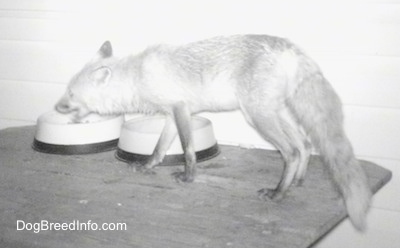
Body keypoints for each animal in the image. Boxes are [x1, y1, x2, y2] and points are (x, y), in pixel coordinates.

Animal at [55, 34, 372, 230]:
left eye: (70, 94)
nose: (56, 106)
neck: (137, 77)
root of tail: (289, 47)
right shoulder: (171, 114)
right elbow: (159, 148)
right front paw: (147, 166)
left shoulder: (181, 109)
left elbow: (188, 150)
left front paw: (188, 177)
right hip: (274, 114)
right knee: (305, 144)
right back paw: (297, 182)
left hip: (258, 117)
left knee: (292, 151)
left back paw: (278, 193)